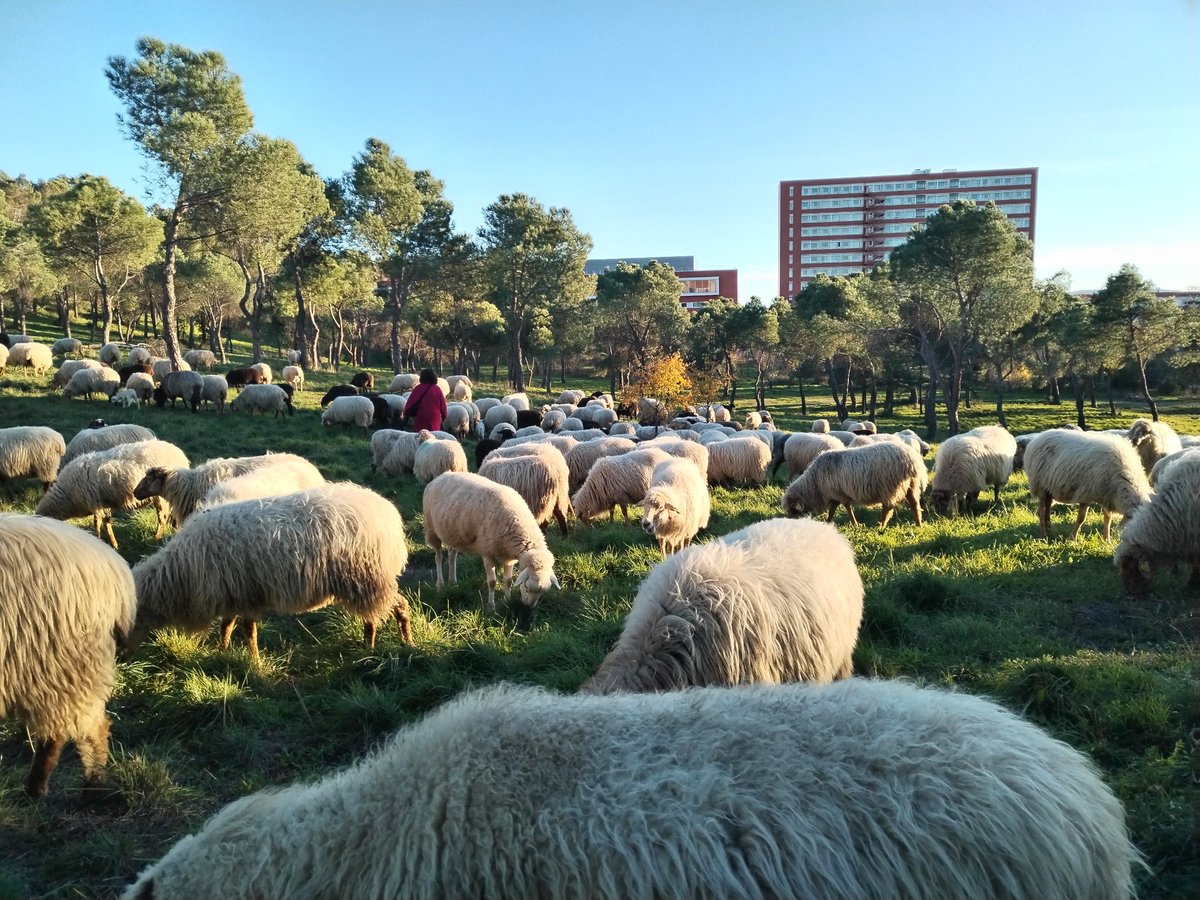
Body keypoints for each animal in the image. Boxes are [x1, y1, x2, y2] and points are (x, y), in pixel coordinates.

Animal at [37, 440, 189, 547]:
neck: (66, 496)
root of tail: (180, 454)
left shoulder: (96, 504)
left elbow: (98, 524)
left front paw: (102, 540)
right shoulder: (102, 504)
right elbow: (106, 524)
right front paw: (113, 544)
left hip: (160, 495)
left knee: (162, 517)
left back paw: (157, 538)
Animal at [131, 483, 412, 661]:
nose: (124, 657)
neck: (182, 571)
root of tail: (388, 512)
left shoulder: (243, 593)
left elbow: (247, 630)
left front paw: (254, 662)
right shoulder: (236, 592)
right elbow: (227, 626)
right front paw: (222, 652)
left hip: (367, 577)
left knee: (389, 610)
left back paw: (384, 646)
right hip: (367, 579)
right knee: (384, 611)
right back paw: (390, 644)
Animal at [422, 472, 558, 625]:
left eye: (542, 593)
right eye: (527, 587)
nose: (528, 608)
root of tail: (442, 475)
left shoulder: (509, 557)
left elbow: (508, 580)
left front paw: (507, 600)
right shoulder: (487, 552)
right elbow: (492, 582)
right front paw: (491, 608)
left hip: (454, 533)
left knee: (452, 554)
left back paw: (453, 582)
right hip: (431, 528)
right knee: (438, 557)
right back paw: (440, 585)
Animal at [783, 440, 925, 528]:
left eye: (792, 508)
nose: (792, 523)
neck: (814, 483)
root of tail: (913, 459)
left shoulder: (837, 493)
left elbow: (845, 507)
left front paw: (854, 524)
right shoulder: (836, 494)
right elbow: (833, 510)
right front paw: (828, 522)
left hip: (889, 486)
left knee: (888, 507)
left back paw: (880, 526)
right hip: (911, 485)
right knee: (915, 505)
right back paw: (918, 524)